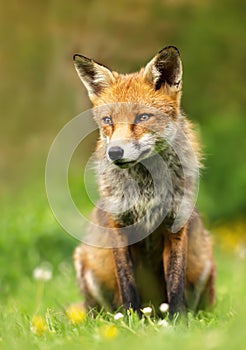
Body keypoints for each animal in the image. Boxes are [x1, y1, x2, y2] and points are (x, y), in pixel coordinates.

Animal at [72, 45, 214, 318]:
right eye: (108, 121)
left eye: (142, 117)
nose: (115, 152)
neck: (146, 191)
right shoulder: (119, 226)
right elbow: (127, 283)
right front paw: (130, 319)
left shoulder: (175, 226)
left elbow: (175, 284)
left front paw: (178, 321)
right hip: (87, 265)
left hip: (205, 261)